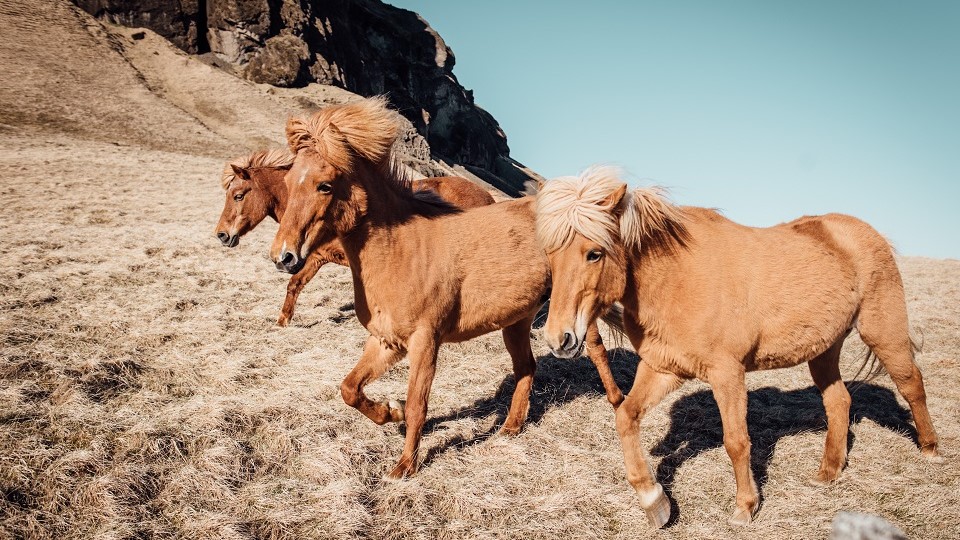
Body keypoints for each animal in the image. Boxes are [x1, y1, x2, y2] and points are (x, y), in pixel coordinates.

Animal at [216, 148, 496, 324]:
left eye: (238, 195)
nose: (221, 235)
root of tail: (487, 196)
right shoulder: (317, 258)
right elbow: (295, 284)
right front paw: (283, 321)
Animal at [268, 96, 624, 476]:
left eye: (324, 185)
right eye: (288, 181)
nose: (283, 256)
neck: (401, 250)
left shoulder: (425, 341)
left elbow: (417, 404)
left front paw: (405, 466)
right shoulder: (386, 341)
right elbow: (349, 389)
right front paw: (389, 412)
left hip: (571, 311)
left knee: (595, 348)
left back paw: (617, 400)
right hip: (517, 320)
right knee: (526, 367)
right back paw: (511, 428)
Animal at [536, 166, 940, 528]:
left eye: (594, 253)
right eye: (550, 254)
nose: (560, 340)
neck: (677, 278)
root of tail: (867, 232)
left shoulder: (727, 373)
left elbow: (736, 441)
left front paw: (745, 507)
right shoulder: (663, 368)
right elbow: (625, 417)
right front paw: (655, 502)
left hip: (883, 332)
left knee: (911, 384)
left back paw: (930, 451)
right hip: (824, 349)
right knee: (839, 400)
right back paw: (828, 472)